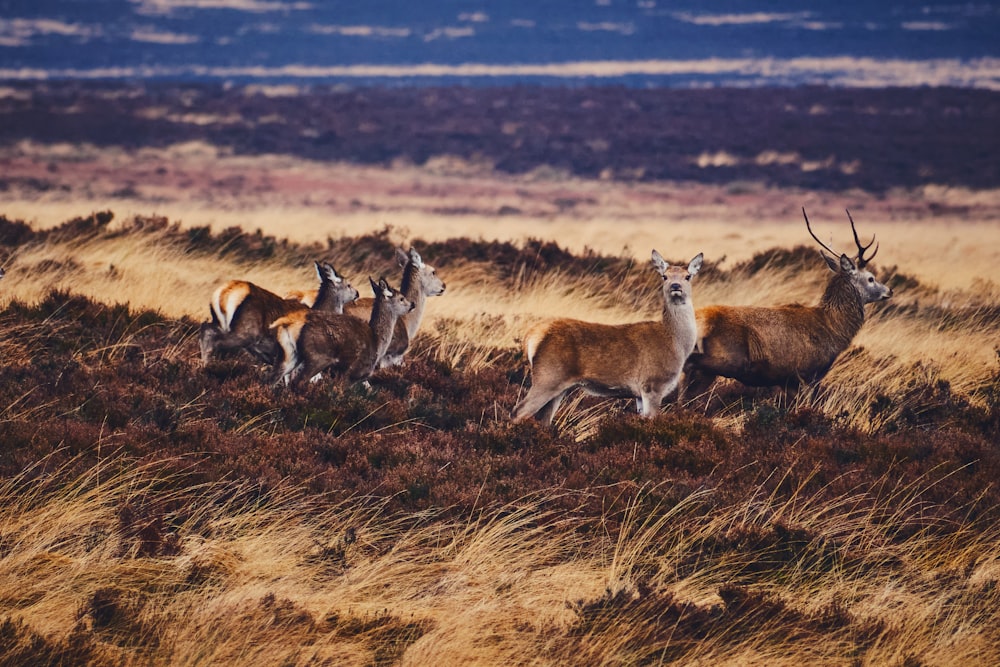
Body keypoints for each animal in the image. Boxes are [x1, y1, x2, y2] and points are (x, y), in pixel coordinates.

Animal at [199, 262, 360, 368]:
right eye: (349, 284)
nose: (357, 293)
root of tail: (225, 292)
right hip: (246, 332)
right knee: (213, 340)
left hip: (221, 322)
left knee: (205, 328)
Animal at [270, 276, 414, 388]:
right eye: (401, 298)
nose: (413, 304)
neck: (377, 342)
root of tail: (290, 323)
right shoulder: (350, 373)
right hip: (317, 357)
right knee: (297, 382)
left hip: (288, 355)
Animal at [508, 250, 704, 422]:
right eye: (665, 276)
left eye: (688, 276)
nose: (676, 286)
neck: (676, 344)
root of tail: (533, 336)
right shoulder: (653, 384)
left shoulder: (639, 394)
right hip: (548, 376)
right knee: (518, 411)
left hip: (559, 386)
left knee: (543, 419)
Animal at [684, 209, 896, 400]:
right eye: (871, 278)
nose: (889, 291)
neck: (833, 329)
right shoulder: (807, 374)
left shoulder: (789, 381)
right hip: (716, 362)